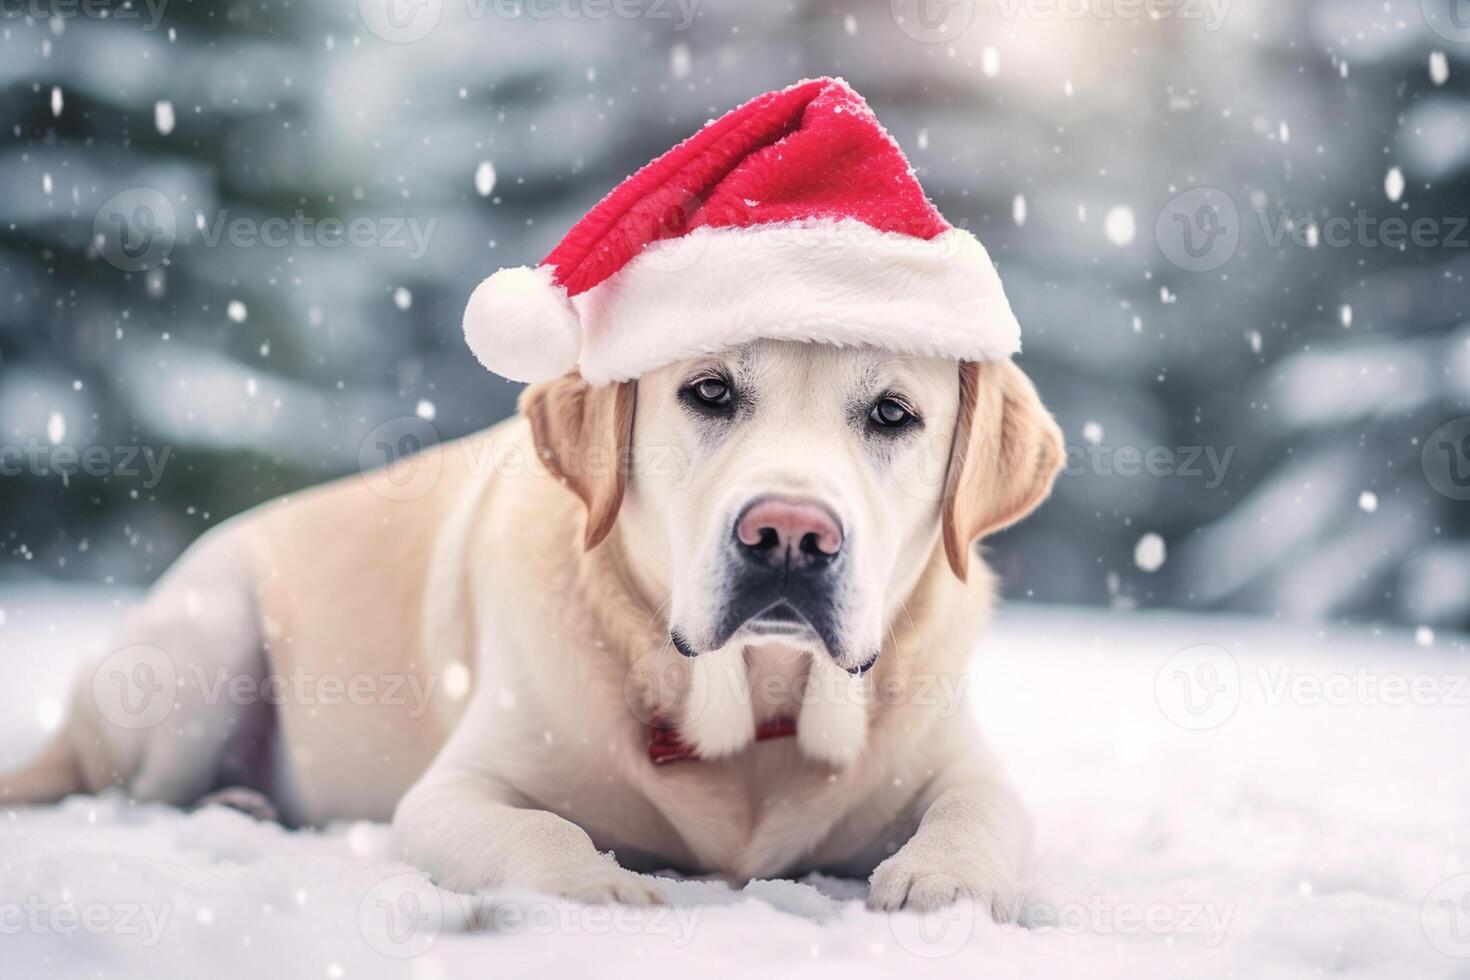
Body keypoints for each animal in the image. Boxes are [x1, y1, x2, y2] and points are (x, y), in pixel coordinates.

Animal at [0, 339, 1058, 922]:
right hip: (206, 641)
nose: (790, 535)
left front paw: (942, 882)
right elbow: (540, 826)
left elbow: (980, 809)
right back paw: (236, 803)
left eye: (893, 413)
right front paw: (598, 886)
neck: (754, 701)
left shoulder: (959, 761)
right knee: (134, 789)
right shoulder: (450, 794)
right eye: (710, 392)